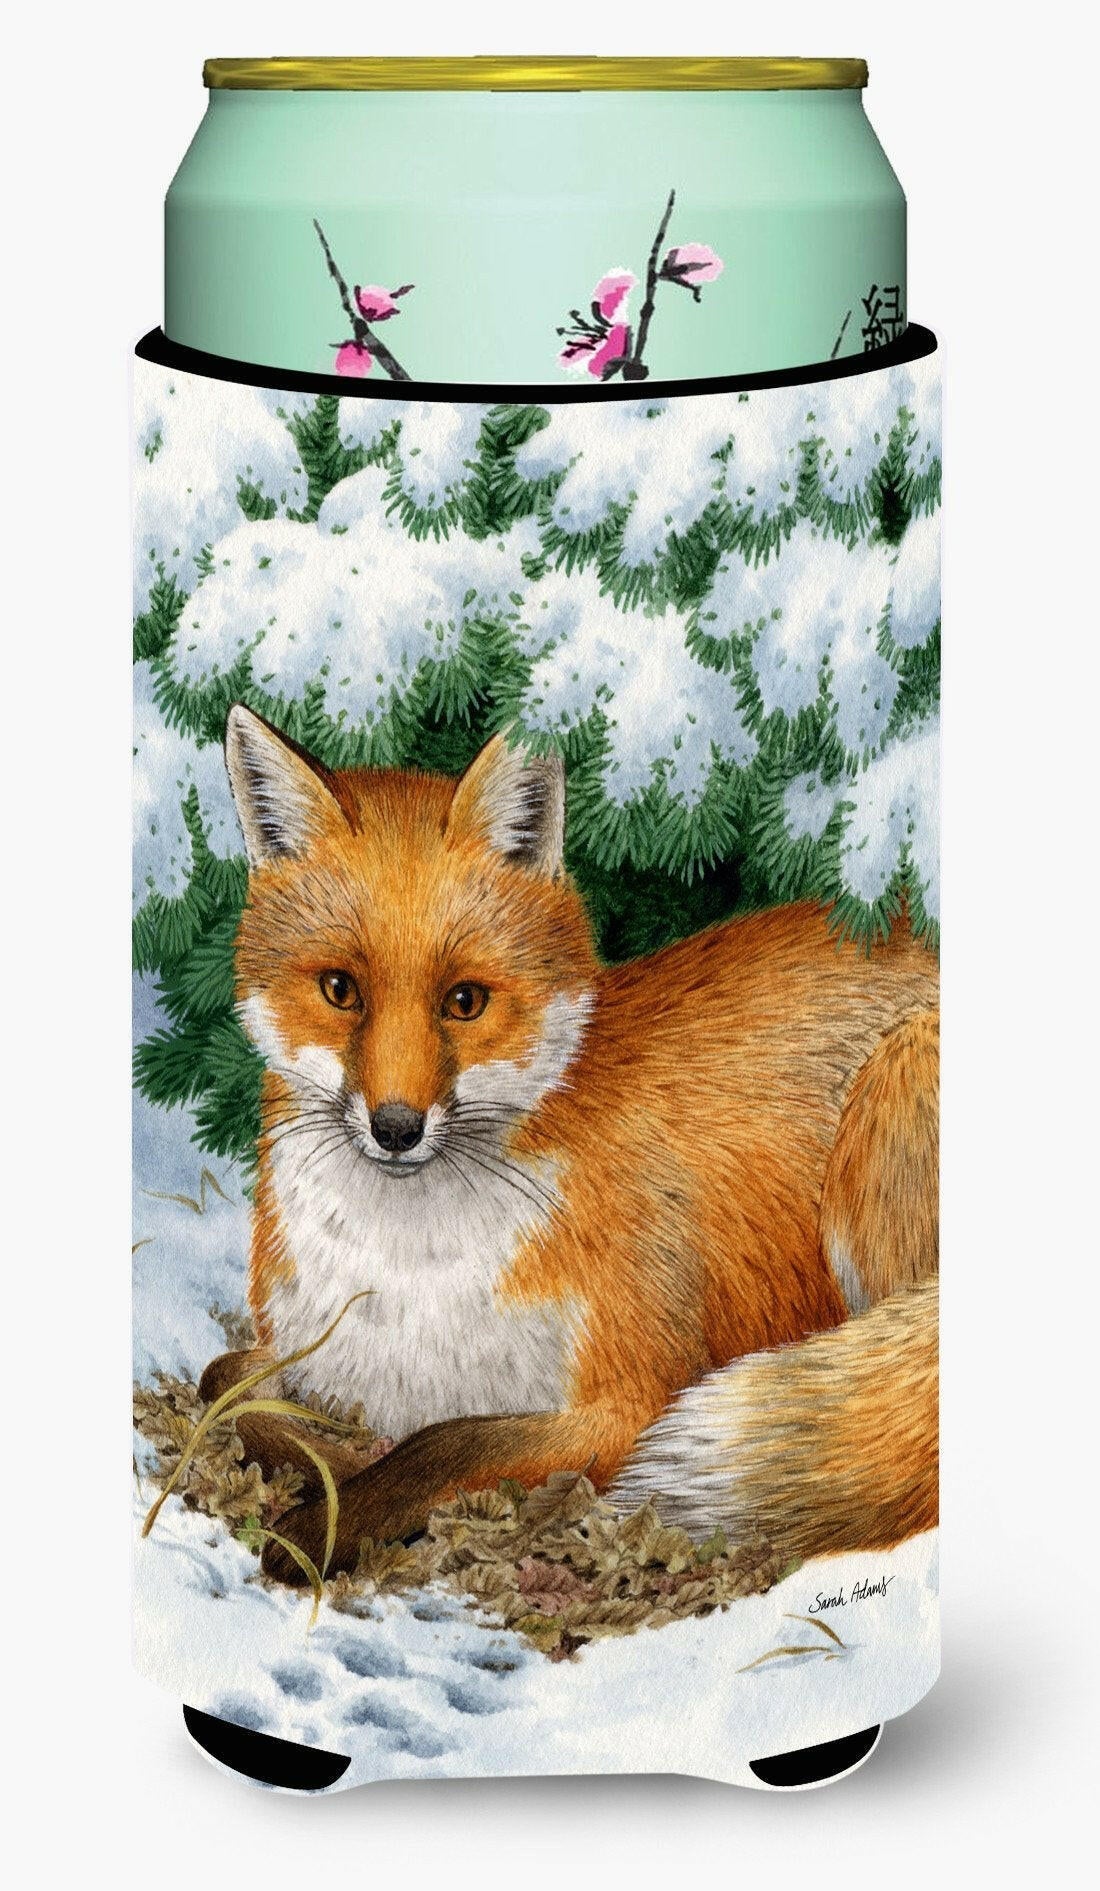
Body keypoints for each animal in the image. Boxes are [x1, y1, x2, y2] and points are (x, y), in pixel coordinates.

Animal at [201, 704, 939, 1586]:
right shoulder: (307, 1354)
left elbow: (443, 1447)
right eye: (340, 990)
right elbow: (227, 1386)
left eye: (465, 1001)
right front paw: (331, 1463)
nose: (396, 1127)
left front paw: (318, 1528)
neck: (409, 1280)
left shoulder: (631, 1402)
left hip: (892, 1098)